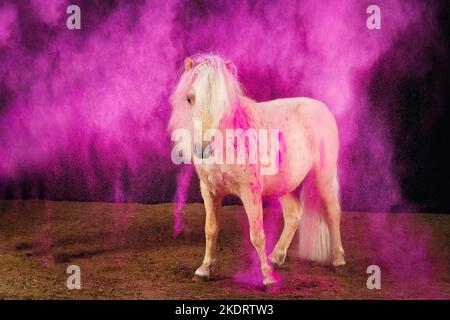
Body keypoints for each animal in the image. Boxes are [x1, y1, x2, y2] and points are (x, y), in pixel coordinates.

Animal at [169, 53, 344, 286]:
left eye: (223, 103)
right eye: (189, 98)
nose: (203, 148)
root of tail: (322, 107)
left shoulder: (249, 191)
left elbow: (257, 234)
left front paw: (268, 277)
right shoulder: (209, 191)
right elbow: (211, 230)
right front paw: (204, 269)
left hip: (323, 177)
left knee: (333, 212)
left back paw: (338, 259)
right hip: (284, 185)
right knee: (294, 214)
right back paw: (276, 256)